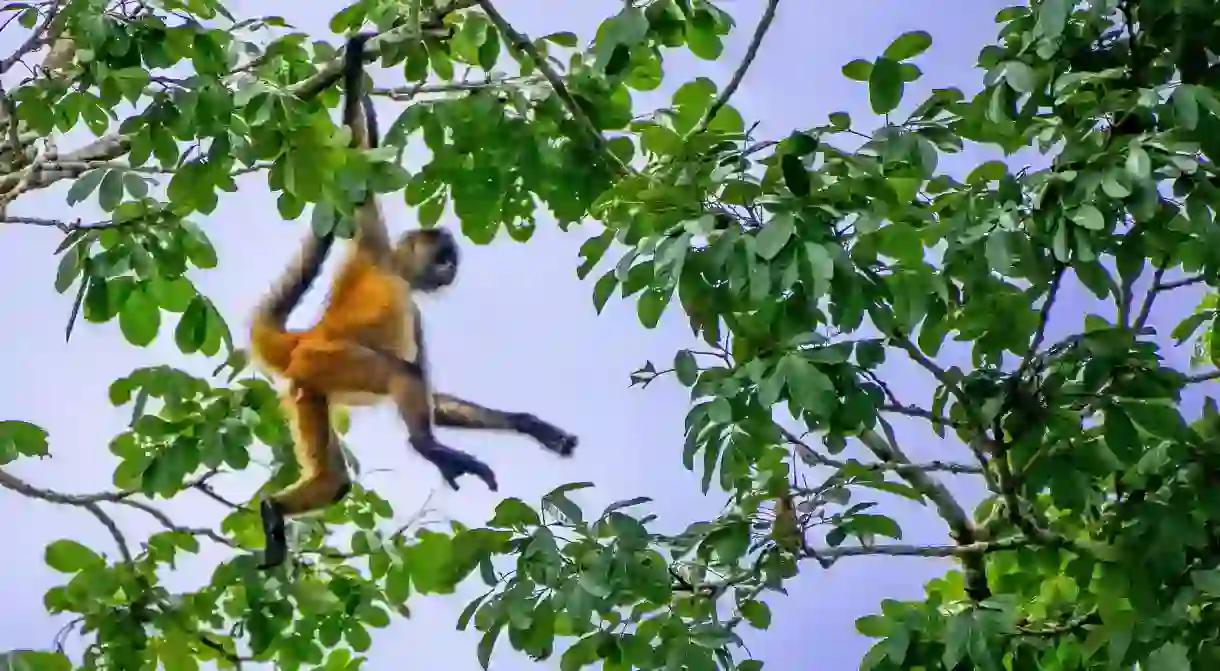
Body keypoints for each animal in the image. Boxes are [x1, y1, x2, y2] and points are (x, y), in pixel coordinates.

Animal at [250, 34, 578, 570]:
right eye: (443, 257)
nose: (450, 271)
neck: (395, 272)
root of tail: (304, 337)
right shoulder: (372, 241)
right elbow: (355, 160)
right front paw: (354, 66)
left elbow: (437, 397)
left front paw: (531, 426)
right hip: (326, 360)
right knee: (397, 375)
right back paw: (430, 448)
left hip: (306, 387)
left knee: (335, 480)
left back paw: (273, 510)